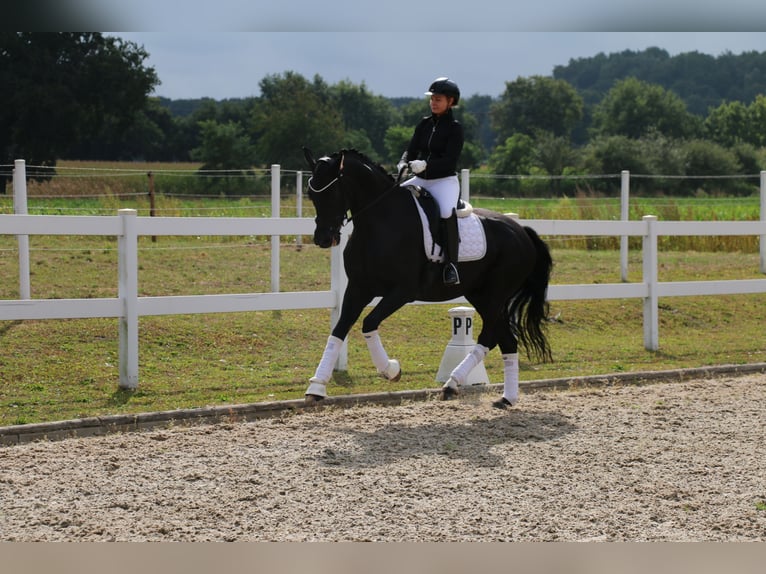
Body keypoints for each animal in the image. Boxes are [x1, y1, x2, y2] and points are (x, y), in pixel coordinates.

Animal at [302, 147, 553, 409]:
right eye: (311, 195)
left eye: (332, 193)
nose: (322, 238)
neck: (380, 222)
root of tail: (521, 230)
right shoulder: (358, 289)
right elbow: (339, 329)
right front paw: (316, 387)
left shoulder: (402, 291)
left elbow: (368, 323)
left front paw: (391, 370)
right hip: (481, 295)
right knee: (506, 340)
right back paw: (505, 398)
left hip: (494, 296)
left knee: (490, 337)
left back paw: (453, 383)